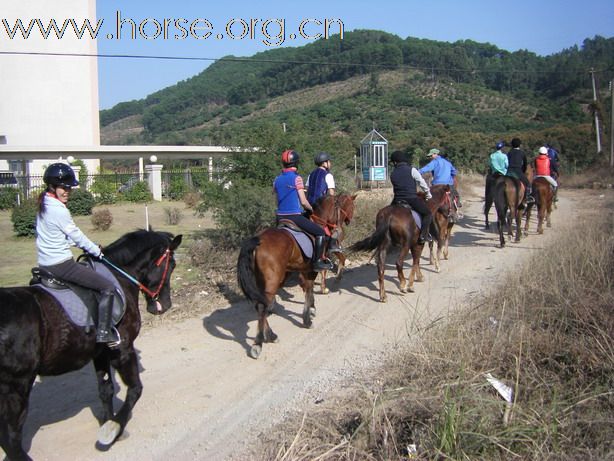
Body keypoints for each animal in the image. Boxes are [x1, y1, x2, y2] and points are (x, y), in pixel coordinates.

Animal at [0, 228, 183, 458]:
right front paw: (112, 429)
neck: (120, 277)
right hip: (17, 385)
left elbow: (105, 390)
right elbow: (135, 389)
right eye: (172, 264)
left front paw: (110, 426)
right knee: (11, 436)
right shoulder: (122, 350)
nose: (164, 305)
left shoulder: (101, 353)